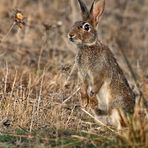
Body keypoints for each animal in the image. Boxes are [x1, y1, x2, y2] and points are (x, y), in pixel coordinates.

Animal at [67, 0, 135, 130]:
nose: (70, 35)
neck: (88, 46)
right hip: (100, 115)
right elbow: (83, 87)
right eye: (74, 24)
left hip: (117, 107)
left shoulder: (99, 73)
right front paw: (84, 102)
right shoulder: (83, 75)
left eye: (86, 27)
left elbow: (96, 86)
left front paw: (91, 99)